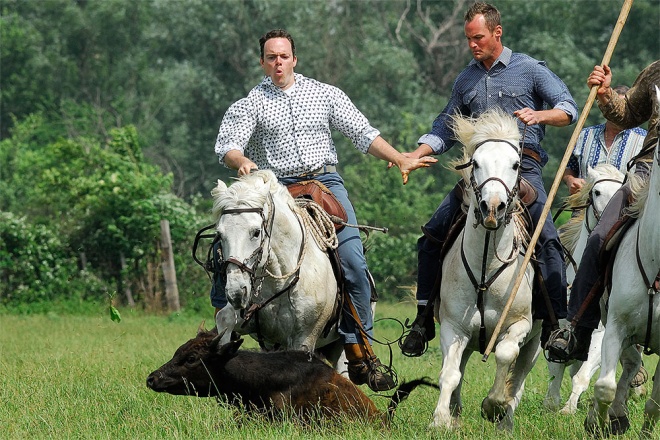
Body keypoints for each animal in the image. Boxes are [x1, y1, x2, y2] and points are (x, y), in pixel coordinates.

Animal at [211, 172, 346, 364]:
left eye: (256, 232)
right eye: (220, 234)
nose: (235, 292)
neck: (280, 278)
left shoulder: (304, 337)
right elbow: (225, 318)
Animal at [428, 108, 540, 432]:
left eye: (516, 164)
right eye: (475, 163)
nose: (493, 207)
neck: (485, 270)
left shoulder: (520, 325)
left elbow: (504, 355)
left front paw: (493, 405)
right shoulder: (454, 326)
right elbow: (450, 373)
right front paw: (441, 420)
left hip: (536, 342)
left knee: (519, 378)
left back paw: (506, 420)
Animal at [544, 164, 628, 412]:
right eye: (597, 192)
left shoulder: (601, 335)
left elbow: (581, 376)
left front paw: (569, 408)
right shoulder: (558, 329)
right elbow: (556, 371)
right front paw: (551, 404)